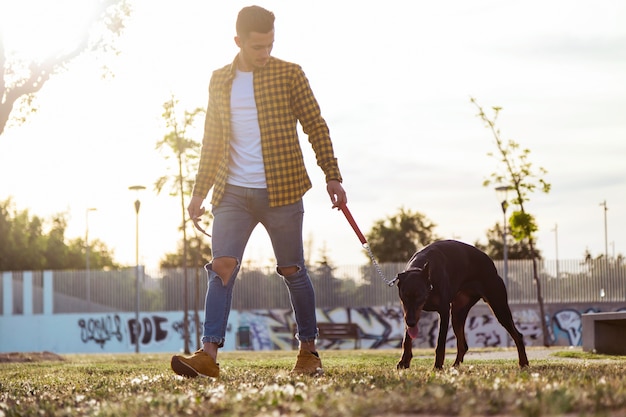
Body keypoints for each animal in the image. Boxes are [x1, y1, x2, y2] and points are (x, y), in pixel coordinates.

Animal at [394, 239, 528, 368]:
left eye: (420, 296)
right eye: (404, 297)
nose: (410, 322)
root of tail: (492, 265)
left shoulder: (444, 311)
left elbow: (440, 344)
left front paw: (437, 366)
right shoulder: (409, 312)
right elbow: (407, 339)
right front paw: (404, 362)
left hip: (498, 306)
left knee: (518, 335)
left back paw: (524, 363)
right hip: (457, 312)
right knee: (463, 345)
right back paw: (455, 365)